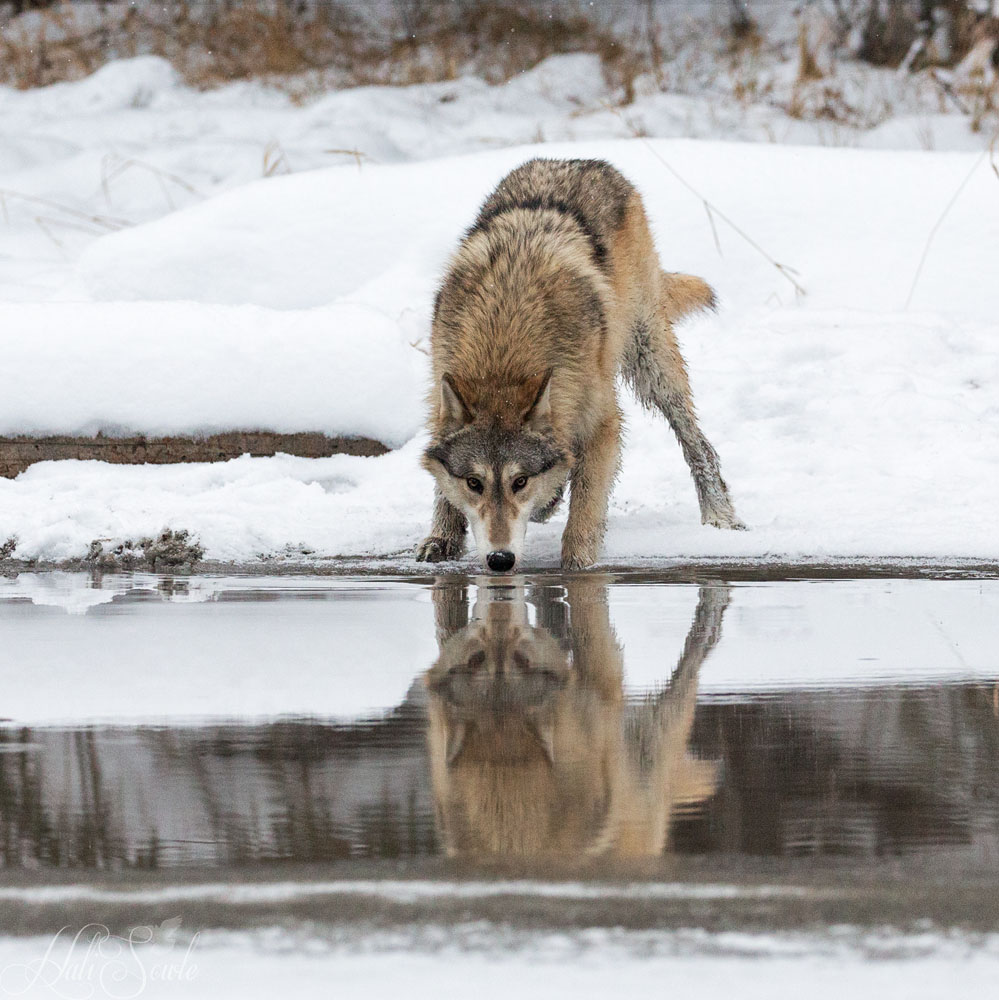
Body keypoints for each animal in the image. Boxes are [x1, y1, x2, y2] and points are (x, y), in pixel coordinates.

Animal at [416, 157, 744, 572]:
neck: (504, 347)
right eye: (474, 483)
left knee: (698, 444)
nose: (500, 559)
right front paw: (442, 538)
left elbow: (586, 505)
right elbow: (443, 487)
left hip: (651, 361)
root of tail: (582, 161)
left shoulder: (602, 421)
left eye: (519, 482)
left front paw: (579, 564)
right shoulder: (439, 389)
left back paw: (720, 516)